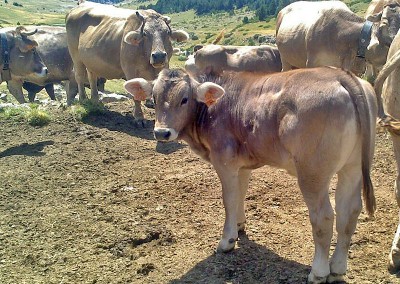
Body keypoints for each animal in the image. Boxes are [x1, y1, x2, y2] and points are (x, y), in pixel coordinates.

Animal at [126, 67, 378, 282]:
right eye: (154, 98)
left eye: (184, 99)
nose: (162, 132)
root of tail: (338, 74)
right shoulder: (242, 165)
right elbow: (240, 194)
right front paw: (239, 226)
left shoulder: (224, 161)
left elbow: (228, 199)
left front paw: (227, 240)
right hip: (352, 168)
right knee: (349, 212)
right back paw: (337, 269)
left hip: (313, 173)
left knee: (324, 217)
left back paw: (318, 272)